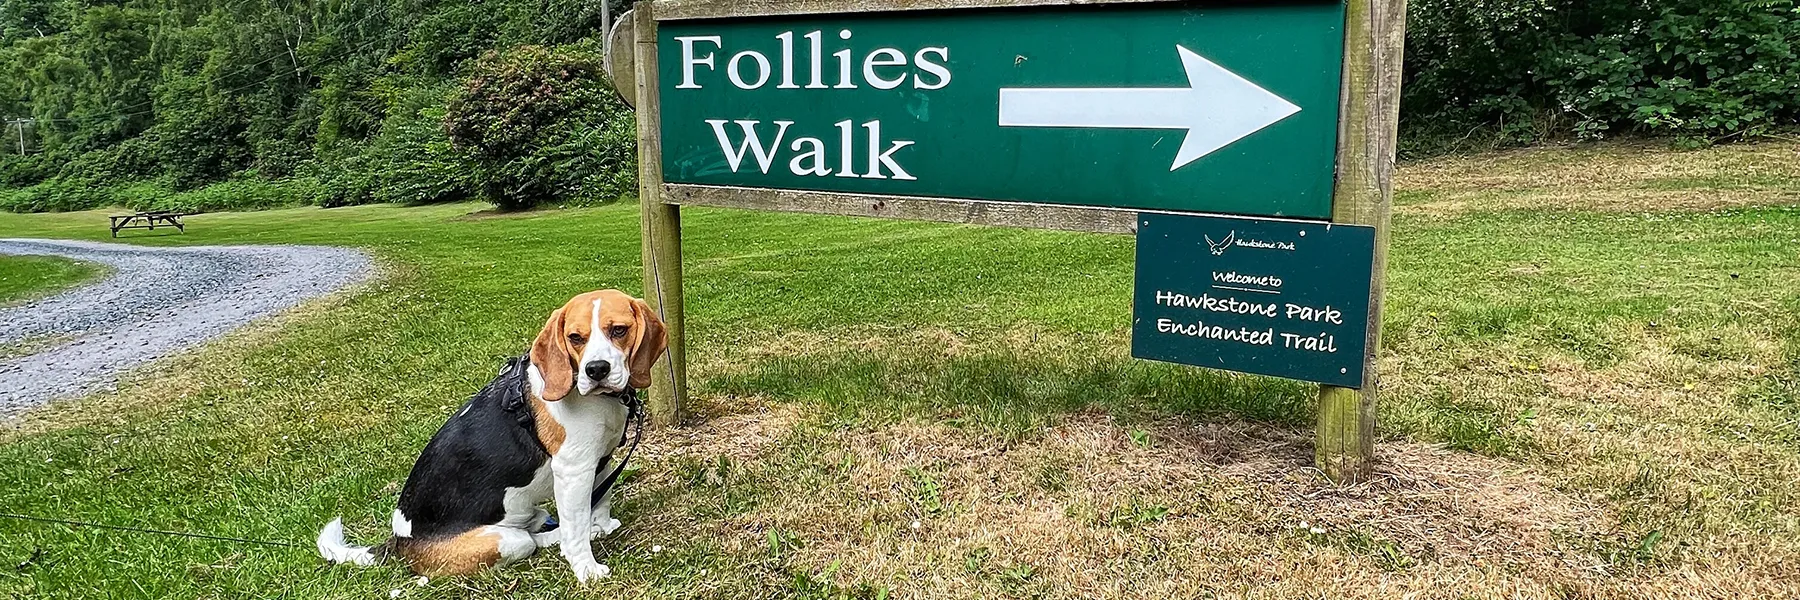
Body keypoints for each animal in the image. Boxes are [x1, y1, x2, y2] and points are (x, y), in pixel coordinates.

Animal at [316, 290, 669, 580]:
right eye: (575, 338)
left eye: (618, 330)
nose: (596, 370)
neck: (601, 399)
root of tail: (400, 542)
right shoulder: (574, 471)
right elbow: (576, 525)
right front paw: (586, 568)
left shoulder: (602, 459)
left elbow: (601, 499)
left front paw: (602, 525)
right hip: (507, 540)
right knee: (531, 540)